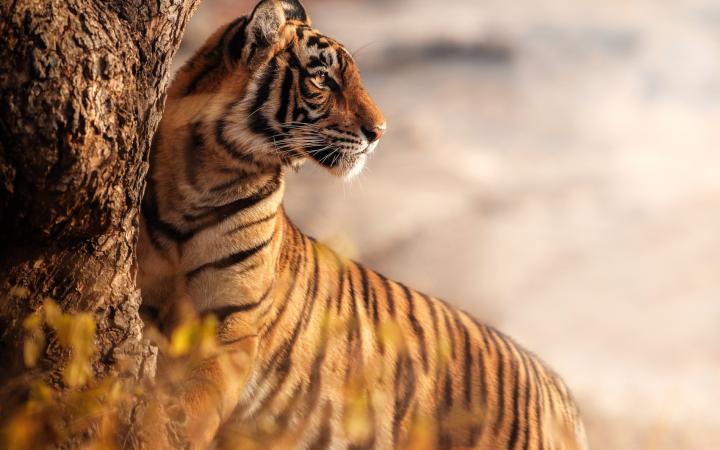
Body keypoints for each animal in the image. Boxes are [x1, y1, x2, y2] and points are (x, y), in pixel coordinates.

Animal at [137, 1, 589, 449]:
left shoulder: (234, 326)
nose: (380, 132)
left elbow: (199, 404)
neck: (204, 178)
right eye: (322, 78)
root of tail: (559, 392)